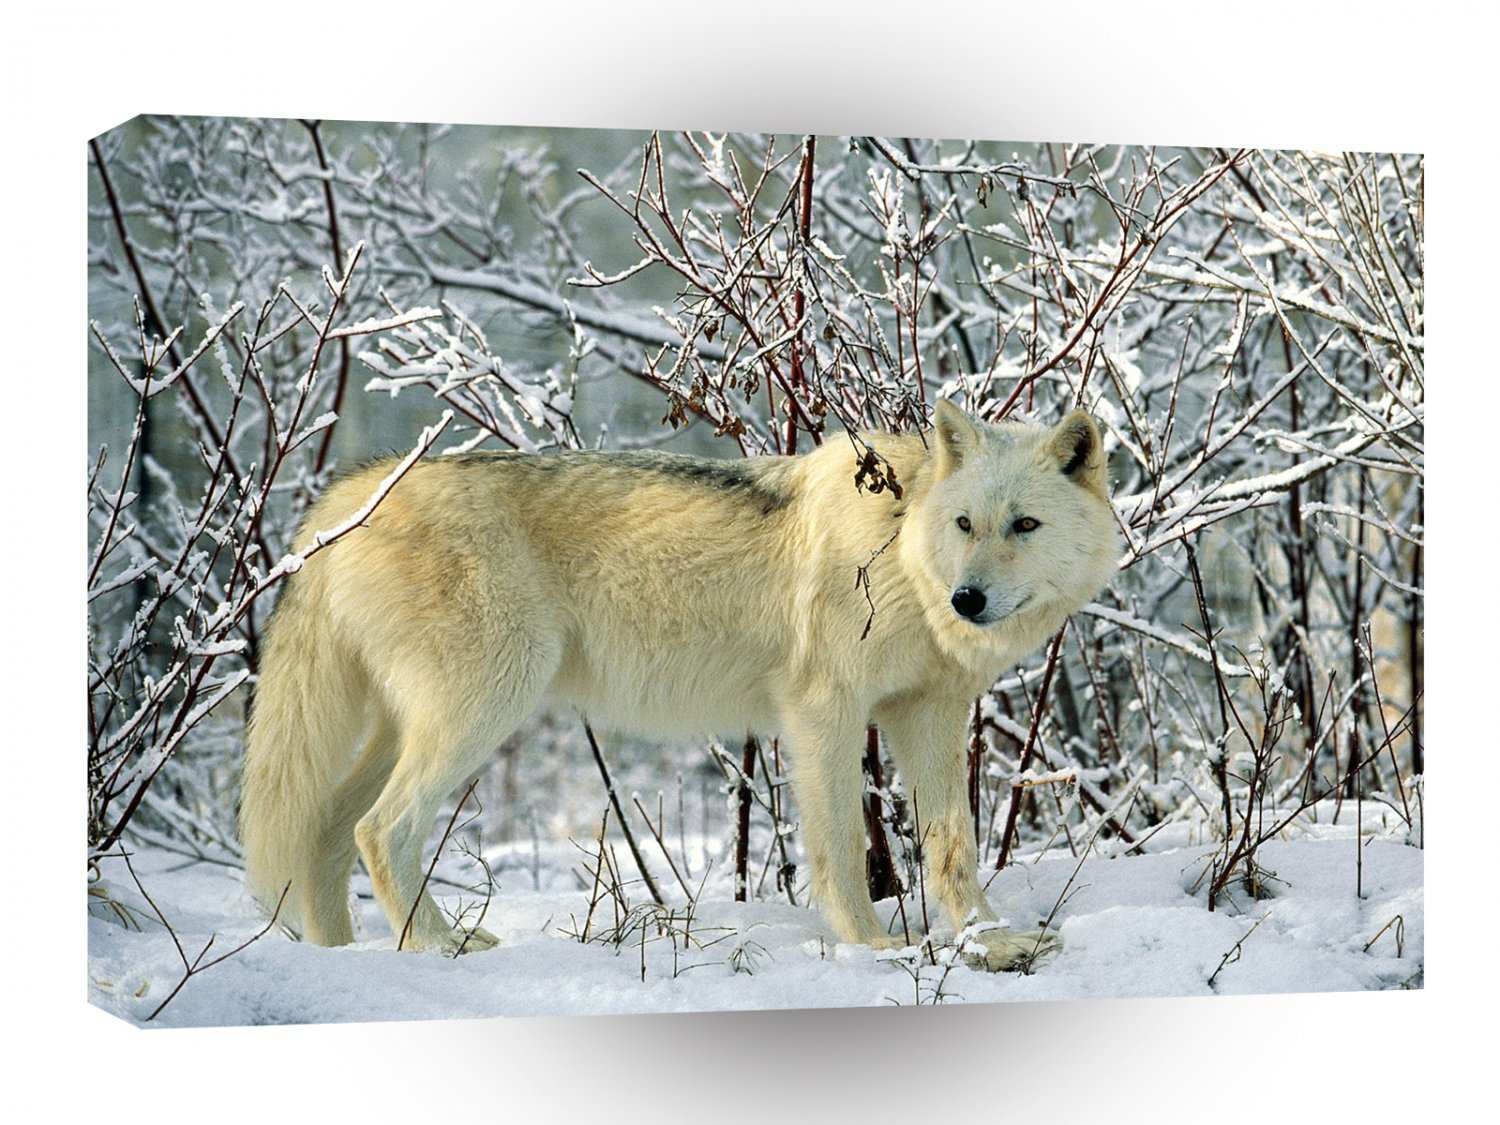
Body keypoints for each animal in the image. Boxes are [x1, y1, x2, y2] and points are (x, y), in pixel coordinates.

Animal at [239, 400, 1121, 970]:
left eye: (1024, 525)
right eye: (966, 524)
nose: (967, 599)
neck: (901, 549)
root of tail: (350, 492)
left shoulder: (930, 714)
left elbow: (953, 847)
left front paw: (988, 940)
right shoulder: (823, 712)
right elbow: (842, 843)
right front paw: (872, 946)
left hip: (410, 728)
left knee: (326, 832)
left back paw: (347, 956)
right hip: (484, 710)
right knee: (380, 830)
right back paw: (440, 944)